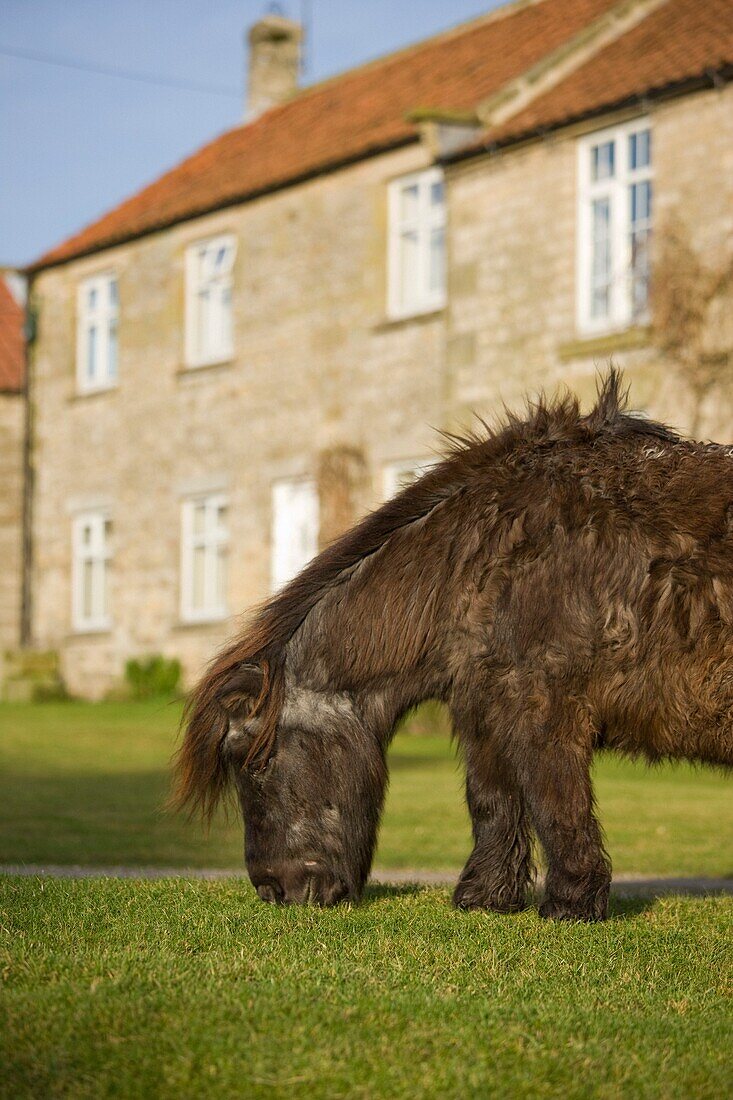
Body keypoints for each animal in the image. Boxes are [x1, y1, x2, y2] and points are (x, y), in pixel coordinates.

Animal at [172, 374, 730, 924]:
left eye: (255, 763)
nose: (276, 891)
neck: (485, 557)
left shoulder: (545, 709)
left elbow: (556, 804)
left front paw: (570, 902)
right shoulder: (484, 707)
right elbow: (493, 802)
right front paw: (486, 896)